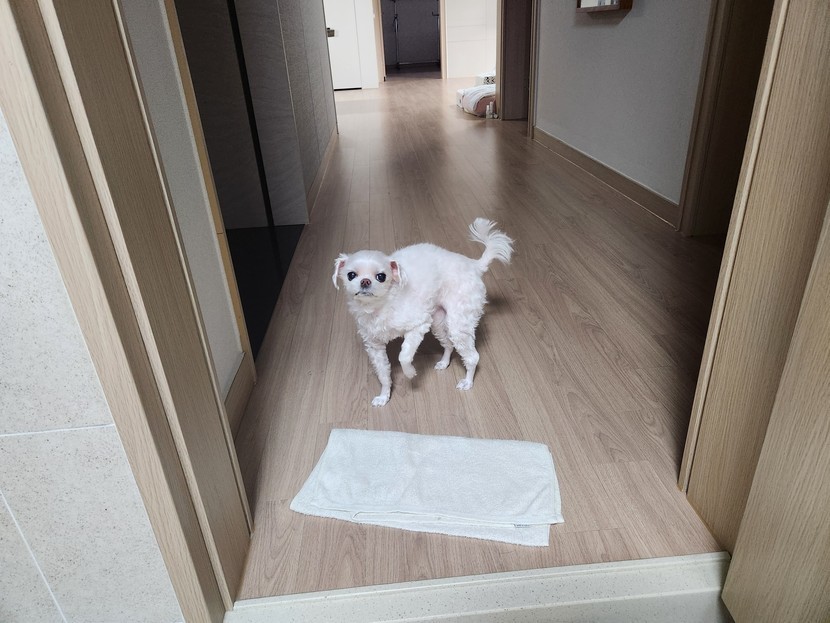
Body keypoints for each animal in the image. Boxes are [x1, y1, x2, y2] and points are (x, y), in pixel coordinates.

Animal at [332, 218, 513, 406]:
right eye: (351, 275)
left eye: (381, 277)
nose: (365, 281)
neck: (380, 306)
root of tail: (474, 266)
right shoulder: (374, 346)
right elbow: (383, 374)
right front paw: (384, 396)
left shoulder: (419, 325)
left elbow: (404, 355)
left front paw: (410, 372)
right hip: (439, 322)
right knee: (449, 344)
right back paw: (444, 362)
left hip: (459, 324)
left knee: (473, 357)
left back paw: (467, 381)